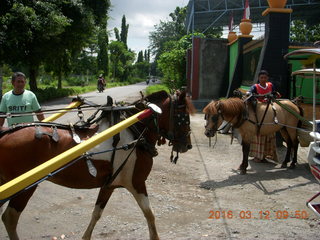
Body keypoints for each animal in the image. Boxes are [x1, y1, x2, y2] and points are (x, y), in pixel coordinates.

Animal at [0, 90, 195, 240]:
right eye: (183, 116)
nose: (187, 145)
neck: (136, 132)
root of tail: (4, 134)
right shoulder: (137, 183)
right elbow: (149, 213)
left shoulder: (109, 185)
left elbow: (97, 213)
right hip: (24, 188)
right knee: (9, 218)